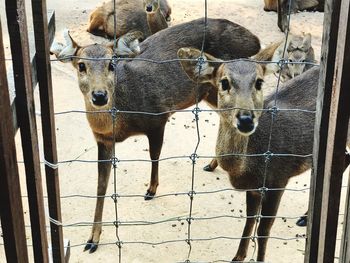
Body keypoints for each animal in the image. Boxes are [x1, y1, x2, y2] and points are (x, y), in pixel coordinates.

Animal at [50, 18, 262, 254]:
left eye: (111, 65)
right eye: (81, 65)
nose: (99, 95)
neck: (122, 119)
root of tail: (254, 40)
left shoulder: (157, 117)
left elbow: (154, 155)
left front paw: (151, 189)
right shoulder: (103, 140)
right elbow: (100, 187)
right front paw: (92, 239)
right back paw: (213, 163)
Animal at [178, 47, 350, 262]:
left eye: (259, 82)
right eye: (224, 82)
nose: (245, 119)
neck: (246, 168)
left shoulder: (278, 180)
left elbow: (263, 230)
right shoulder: (253, 188)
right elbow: (249, 221)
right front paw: (238, 256)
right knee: (345, 158)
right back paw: (304, 218)